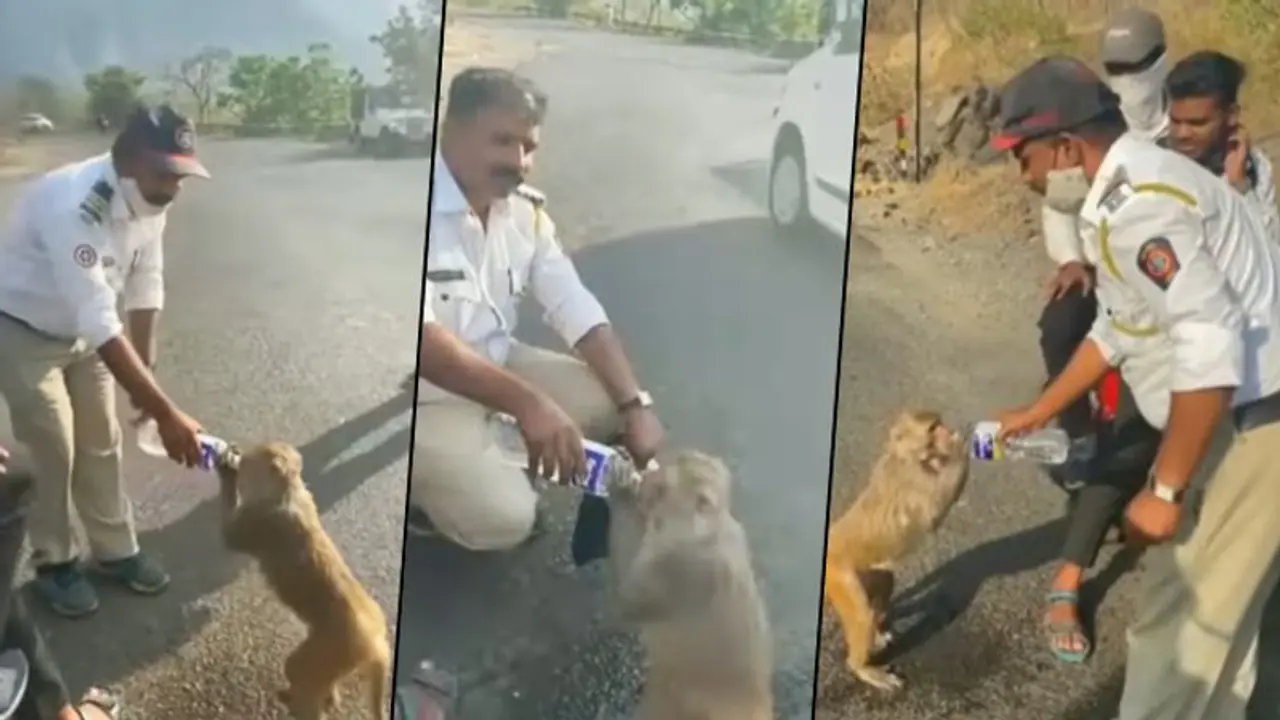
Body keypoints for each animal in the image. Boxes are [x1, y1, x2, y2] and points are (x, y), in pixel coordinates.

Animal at [217, 442, 391, 720]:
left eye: (250, 458)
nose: (240, 453)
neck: (288, 490)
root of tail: (376, 640)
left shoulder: (260, 521)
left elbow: (230, 536)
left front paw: (226, 471)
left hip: (326, 651)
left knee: (299, 673)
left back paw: (300, 702)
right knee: (321, 682)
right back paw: (323, 697)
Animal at [607, 450, 773, 720]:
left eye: (663, 487)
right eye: (685, 456)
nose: (647, 480)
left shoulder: (679, 566)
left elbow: (631, 599)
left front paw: (619, 484)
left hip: (671, 704)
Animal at [823, 409, 970, 693]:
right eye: (934, 427)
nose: (945, 431)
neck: (902, 454)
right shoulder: (914, 478)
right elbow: (935, 510)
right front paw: (960, 447)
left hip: (867, 570)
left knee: (884, 586)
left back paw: (878, 634)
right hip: (839, 575)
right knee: (862, 616)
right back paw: (863, 667)